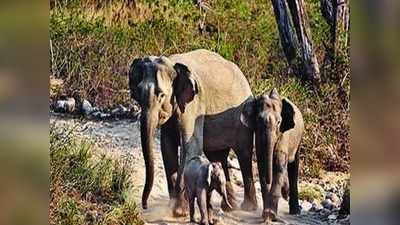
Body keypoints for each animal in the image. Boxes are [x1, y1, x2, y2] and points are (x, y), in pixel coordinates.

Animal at [129, 49, 260, 216]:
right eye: (138, 94)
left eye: (161, 95)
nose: (144, 205)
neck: (173, 64)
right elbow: (167, 148)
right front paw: (175, 209)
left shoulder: (194, 104)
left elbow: (190, 146)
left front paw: (179, 212)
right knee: (218, 156)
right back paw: (230, 207)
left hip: (243, 118)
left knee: (243, 154)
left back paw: (248, 207)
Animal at [241, 88, 304, 221]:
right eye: (258, 120)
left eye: (279, 122)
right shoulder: (258, 136)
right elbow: (262, 165)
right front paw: (266, 215)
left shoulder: (284, 136)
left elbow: (279, 164)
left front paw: (270, 214)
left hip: (298, 139)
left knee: (294, 166)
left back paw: (295, 211)